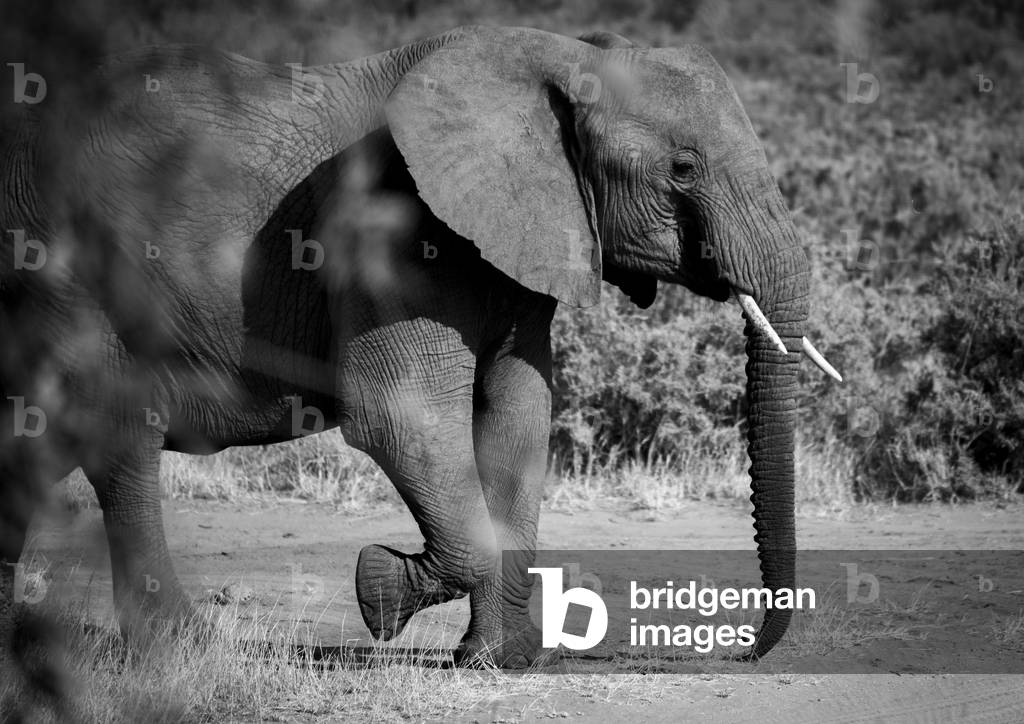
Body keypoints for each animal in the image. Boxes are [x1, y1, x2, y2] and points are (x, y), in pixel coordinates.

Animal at [0, 25, 841, 666]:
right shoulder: (395, 227)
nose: (745, 649)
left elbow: (517, 418)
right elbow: (400, 418)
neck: (562, 56)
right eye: (683, 169)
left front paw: (499, 663)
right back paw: (187, 649)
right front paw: (378, 590)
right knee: (116, 439)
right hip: (68, 264)